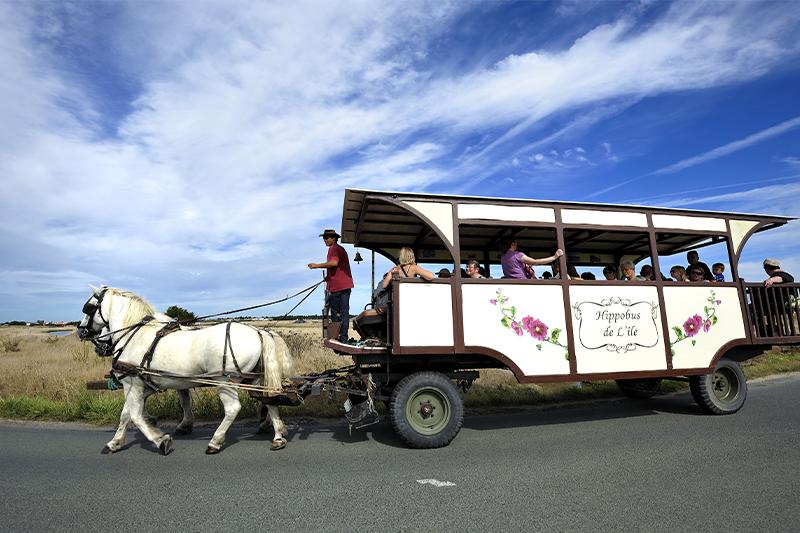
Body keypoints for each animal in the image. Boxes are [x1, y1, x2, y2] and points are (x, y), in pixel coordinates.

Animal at [76, 284, 296, 456]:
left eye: (88, 308)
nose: (81, 331)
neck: (135, 334)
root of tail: (259, 331)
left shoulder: (133, 384)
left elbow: (135, 416)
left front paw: (161, 440)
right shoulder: (145, 384)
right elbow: (127, 414)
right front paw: (115, 443)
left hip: (226, 381)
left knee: (233, 409)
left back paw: (215, 442)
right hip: (255, 379)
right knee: (270, 401)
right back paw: (278, 437)